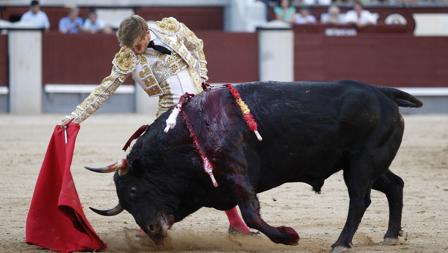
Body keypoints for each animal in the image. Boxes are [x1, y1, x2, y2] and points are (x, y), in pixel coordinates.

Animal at [89, 80, 422, 249]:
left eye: (133, 191)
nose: (152, 230)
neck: (189, 132)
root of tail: (382, 93)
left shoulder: (237, 172)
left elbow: (251, 213)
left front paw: (288, 236)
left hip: (362, 164)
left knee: (360, 199)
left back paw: (341, 242)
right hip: (367, 165)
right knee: (395, 185)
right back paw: (390, 236)